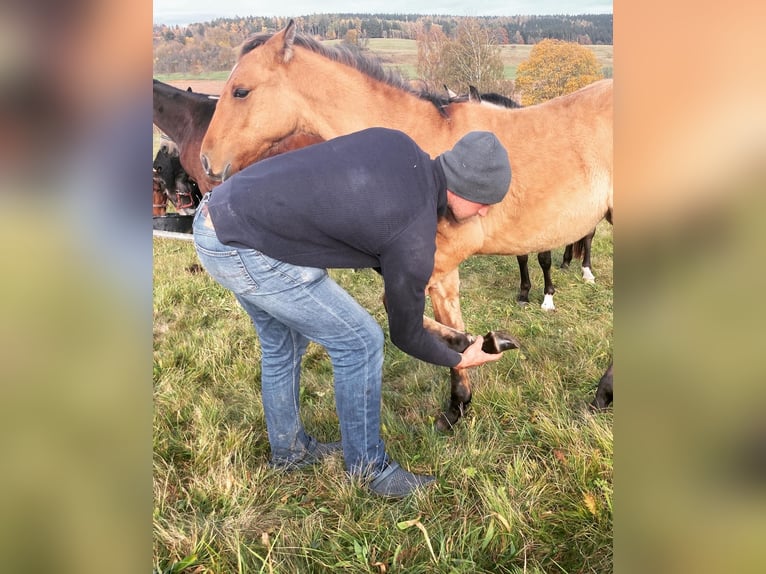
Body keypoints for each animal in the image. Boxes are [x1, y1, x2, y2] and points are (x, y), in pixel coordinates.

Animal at [200, 21, 616, 432]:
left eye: (240, 91)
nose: (206, 161)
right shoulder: (441, 271)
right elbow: (443, 322)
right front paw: (458, 403)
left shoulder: (435, 261)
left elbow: (400, 312)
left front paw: (487, 344)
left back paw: (602, 394)